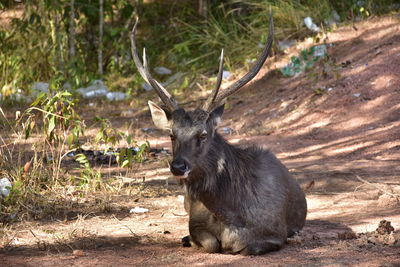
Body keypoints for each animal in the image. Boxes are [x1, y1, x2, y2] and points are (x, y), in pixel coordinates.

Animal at [130, 13, 306, 256]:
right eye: (171, 134)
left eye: (203, 134)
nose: (178, 166)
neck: (231, 214)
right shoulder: (195, 223)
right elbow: (210, 243)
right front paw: (191, 240)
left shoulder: (275, 234)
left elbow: (246, 247)